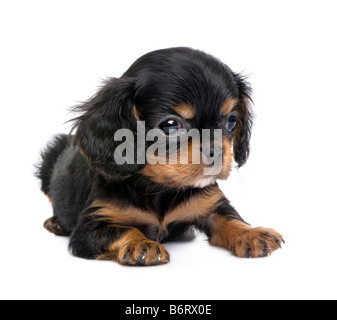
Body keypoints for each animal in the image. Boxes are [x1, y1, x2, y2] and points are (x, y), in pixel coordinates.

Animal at [36, 47, 282, 266]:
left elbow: (229, 218)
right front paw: (140, 244)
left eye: (231, 121)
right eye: (171, 125)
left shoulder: (211, 205)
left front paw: (251, 234)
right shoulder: (89, 229)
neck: (160, 187)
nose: (218, 152)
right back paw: (56, 223)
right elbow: (123, 229)